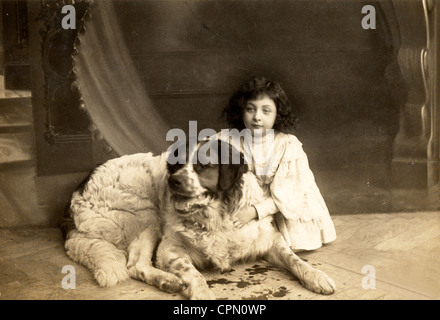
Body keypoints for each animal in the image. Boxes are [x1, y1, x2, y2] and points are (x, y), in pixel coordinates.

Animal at [63, 139, 336, 298]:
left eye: (203, 166)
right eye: (176, 164)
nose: (174, 181)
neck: (216, 218)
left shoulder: (268, 240)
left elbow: (295, 259)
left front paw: (317, 277)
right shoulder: (170, 250)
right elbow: (193, 273)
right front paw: (202, 294)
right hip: (147, 213)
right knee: (135, 265)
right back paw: (168, 281)